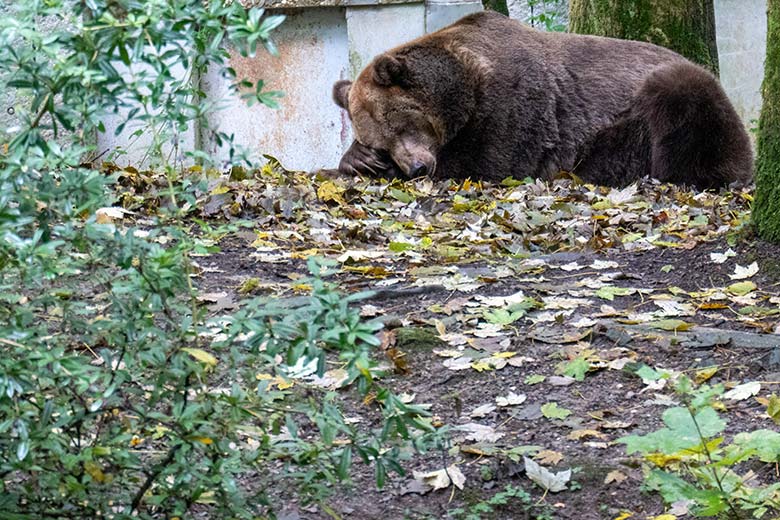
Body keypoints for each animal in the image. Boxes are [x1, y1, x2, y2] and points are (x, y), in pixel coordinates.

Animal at [332, 11, 752, 190]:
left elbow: (485, 161)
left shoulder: (512, 105)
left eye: (403, 124)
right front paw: (359, 159)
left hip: (669, 96)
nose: (417, 167)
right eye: (381, 140)